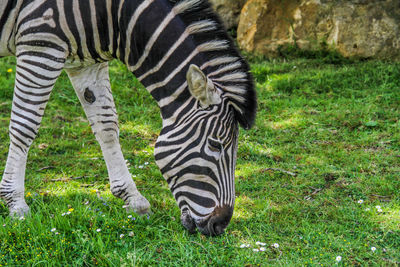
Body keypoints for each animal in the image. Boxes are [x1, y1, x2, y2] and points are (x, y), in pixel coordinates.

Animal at [0, 0, 256, 237]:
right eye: (215, 145)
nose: (220, 225)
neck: (113, 14)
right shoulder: (40, 42)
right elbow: (25, 124)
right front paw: (15, 203)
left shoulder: (85, 62)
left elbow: (106, 126)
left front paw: (133, 200)